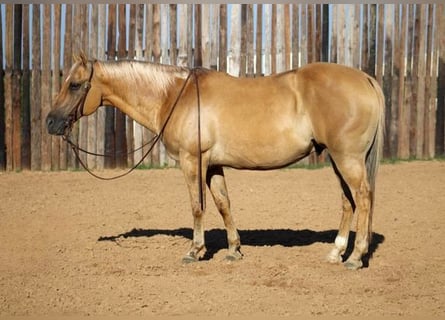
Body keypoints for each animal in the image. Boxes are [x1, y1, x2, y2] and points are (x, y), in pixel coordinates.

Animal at [46, 53, 384, 270]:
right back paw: (336, 252)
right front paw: (233, 250)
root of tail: (366, 78)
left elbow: (197, 206)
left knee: (364, 198)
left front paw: (194, 251)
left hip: (347, 159)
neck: (174, 96)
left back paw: (356, 257)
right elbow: (223, 205)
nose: (50, 122)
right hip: (338, 159)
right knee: (348, 201)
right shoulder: (213, 166)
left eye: (74, 84)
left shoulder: (191, 161)